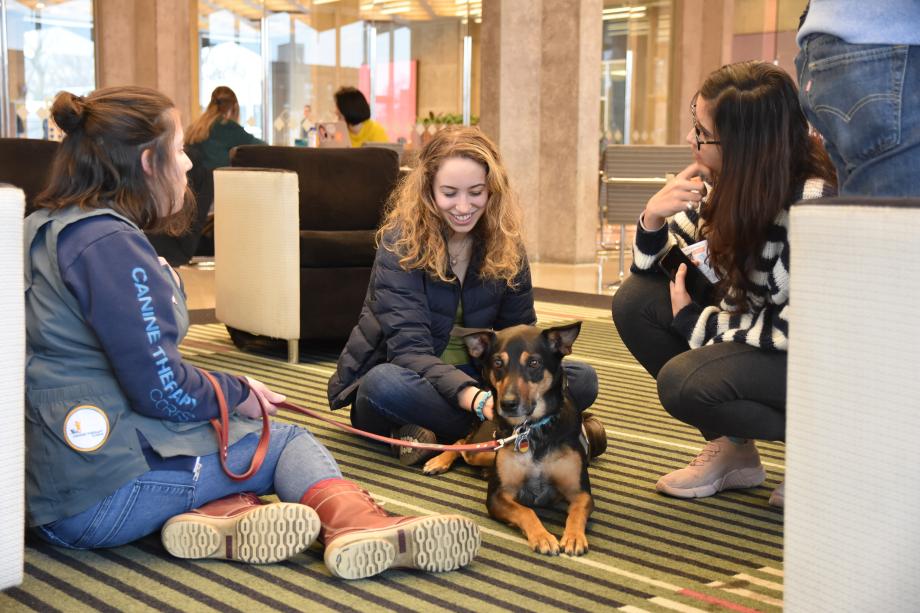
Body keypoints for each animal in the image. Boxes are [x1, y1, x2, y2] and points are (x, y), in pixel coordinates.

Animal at [422, 322, 592, 556]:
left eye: (534, 363)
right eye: (497, 363)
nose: (507, 404)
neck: (531, 429)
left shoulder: (580, 491)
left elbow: (577, 510)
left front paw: (574, 537)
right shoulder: (497, 496)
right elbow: (526, 511)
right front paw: (543, 537)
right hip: (482, 450)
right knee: (463, 443)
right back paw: (438, 461)